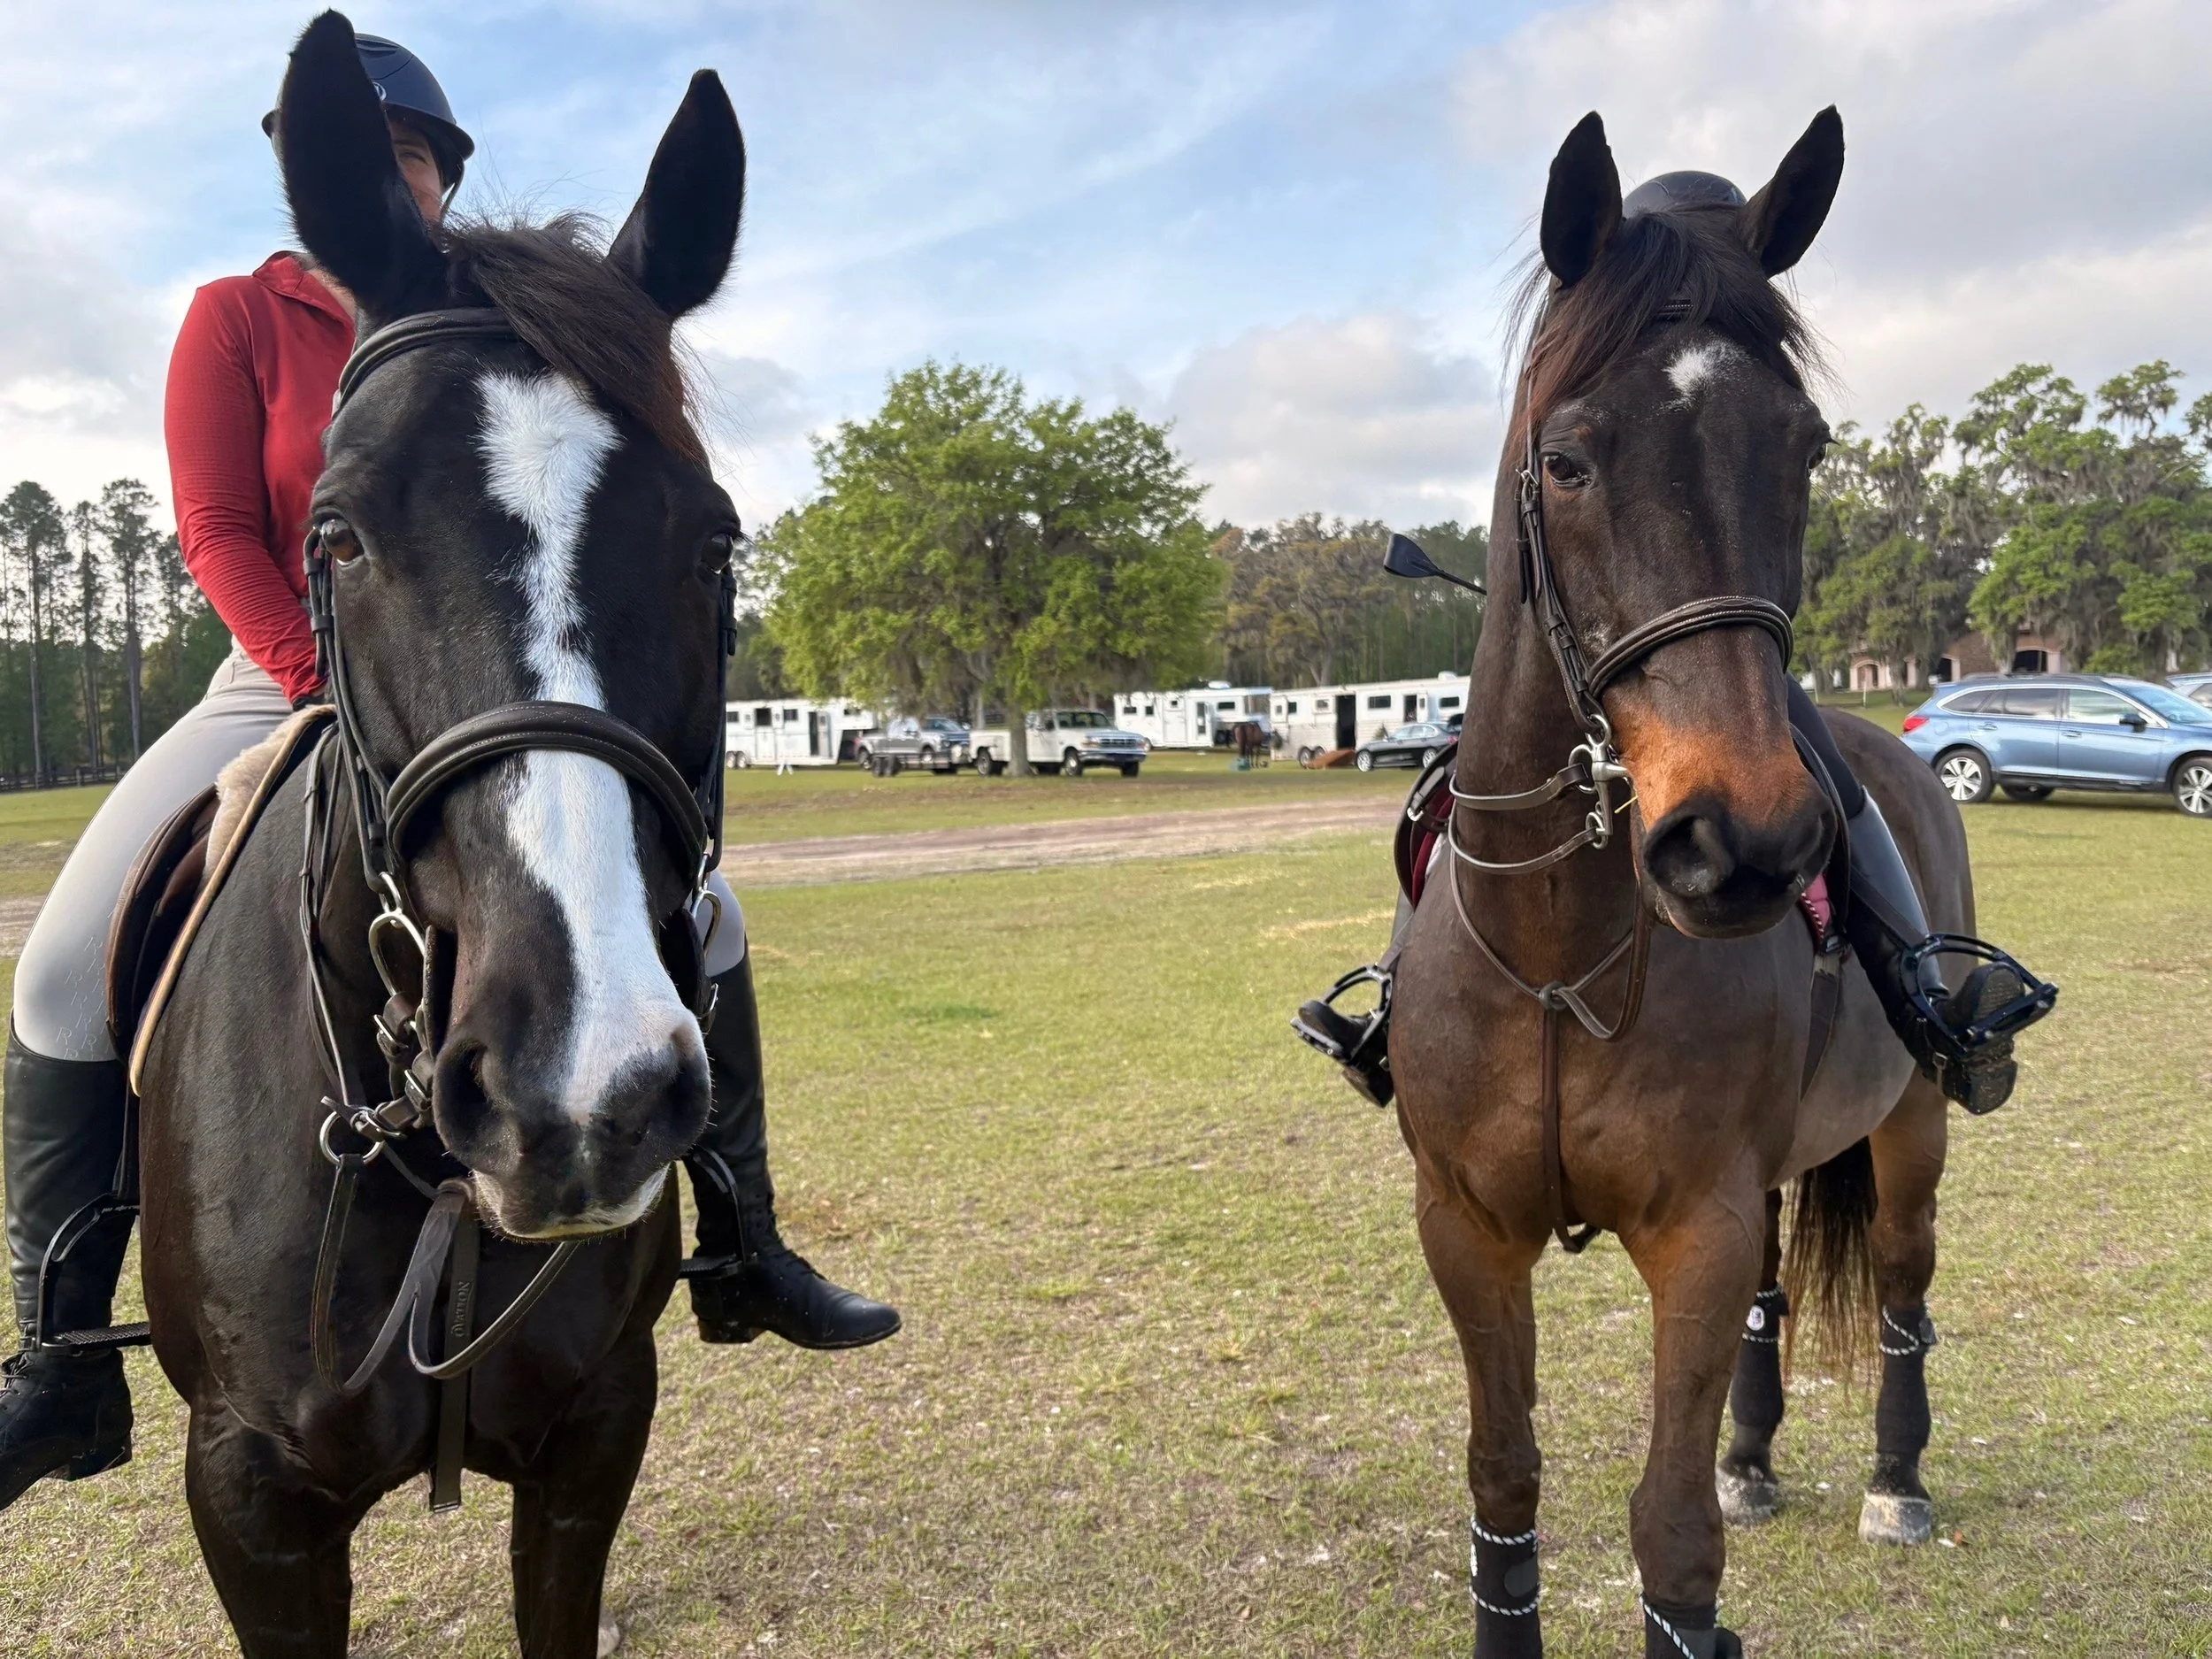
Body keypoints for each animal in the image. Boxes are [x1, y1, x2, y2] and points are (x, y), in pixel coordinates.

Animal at [1391, 110, 1969, 1656]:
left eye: (1806, 447)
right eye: (1570, 459)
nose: (1746, 840)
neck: (1557, 950)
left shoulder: (1695, 1225)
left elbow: (1672, 1538)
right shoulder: (1465, 1226)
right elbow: (1504, 1481)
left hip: (1911, 1126)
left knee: (1903, 1282)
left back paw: (1896, 1478)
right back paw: (1758, 1450)